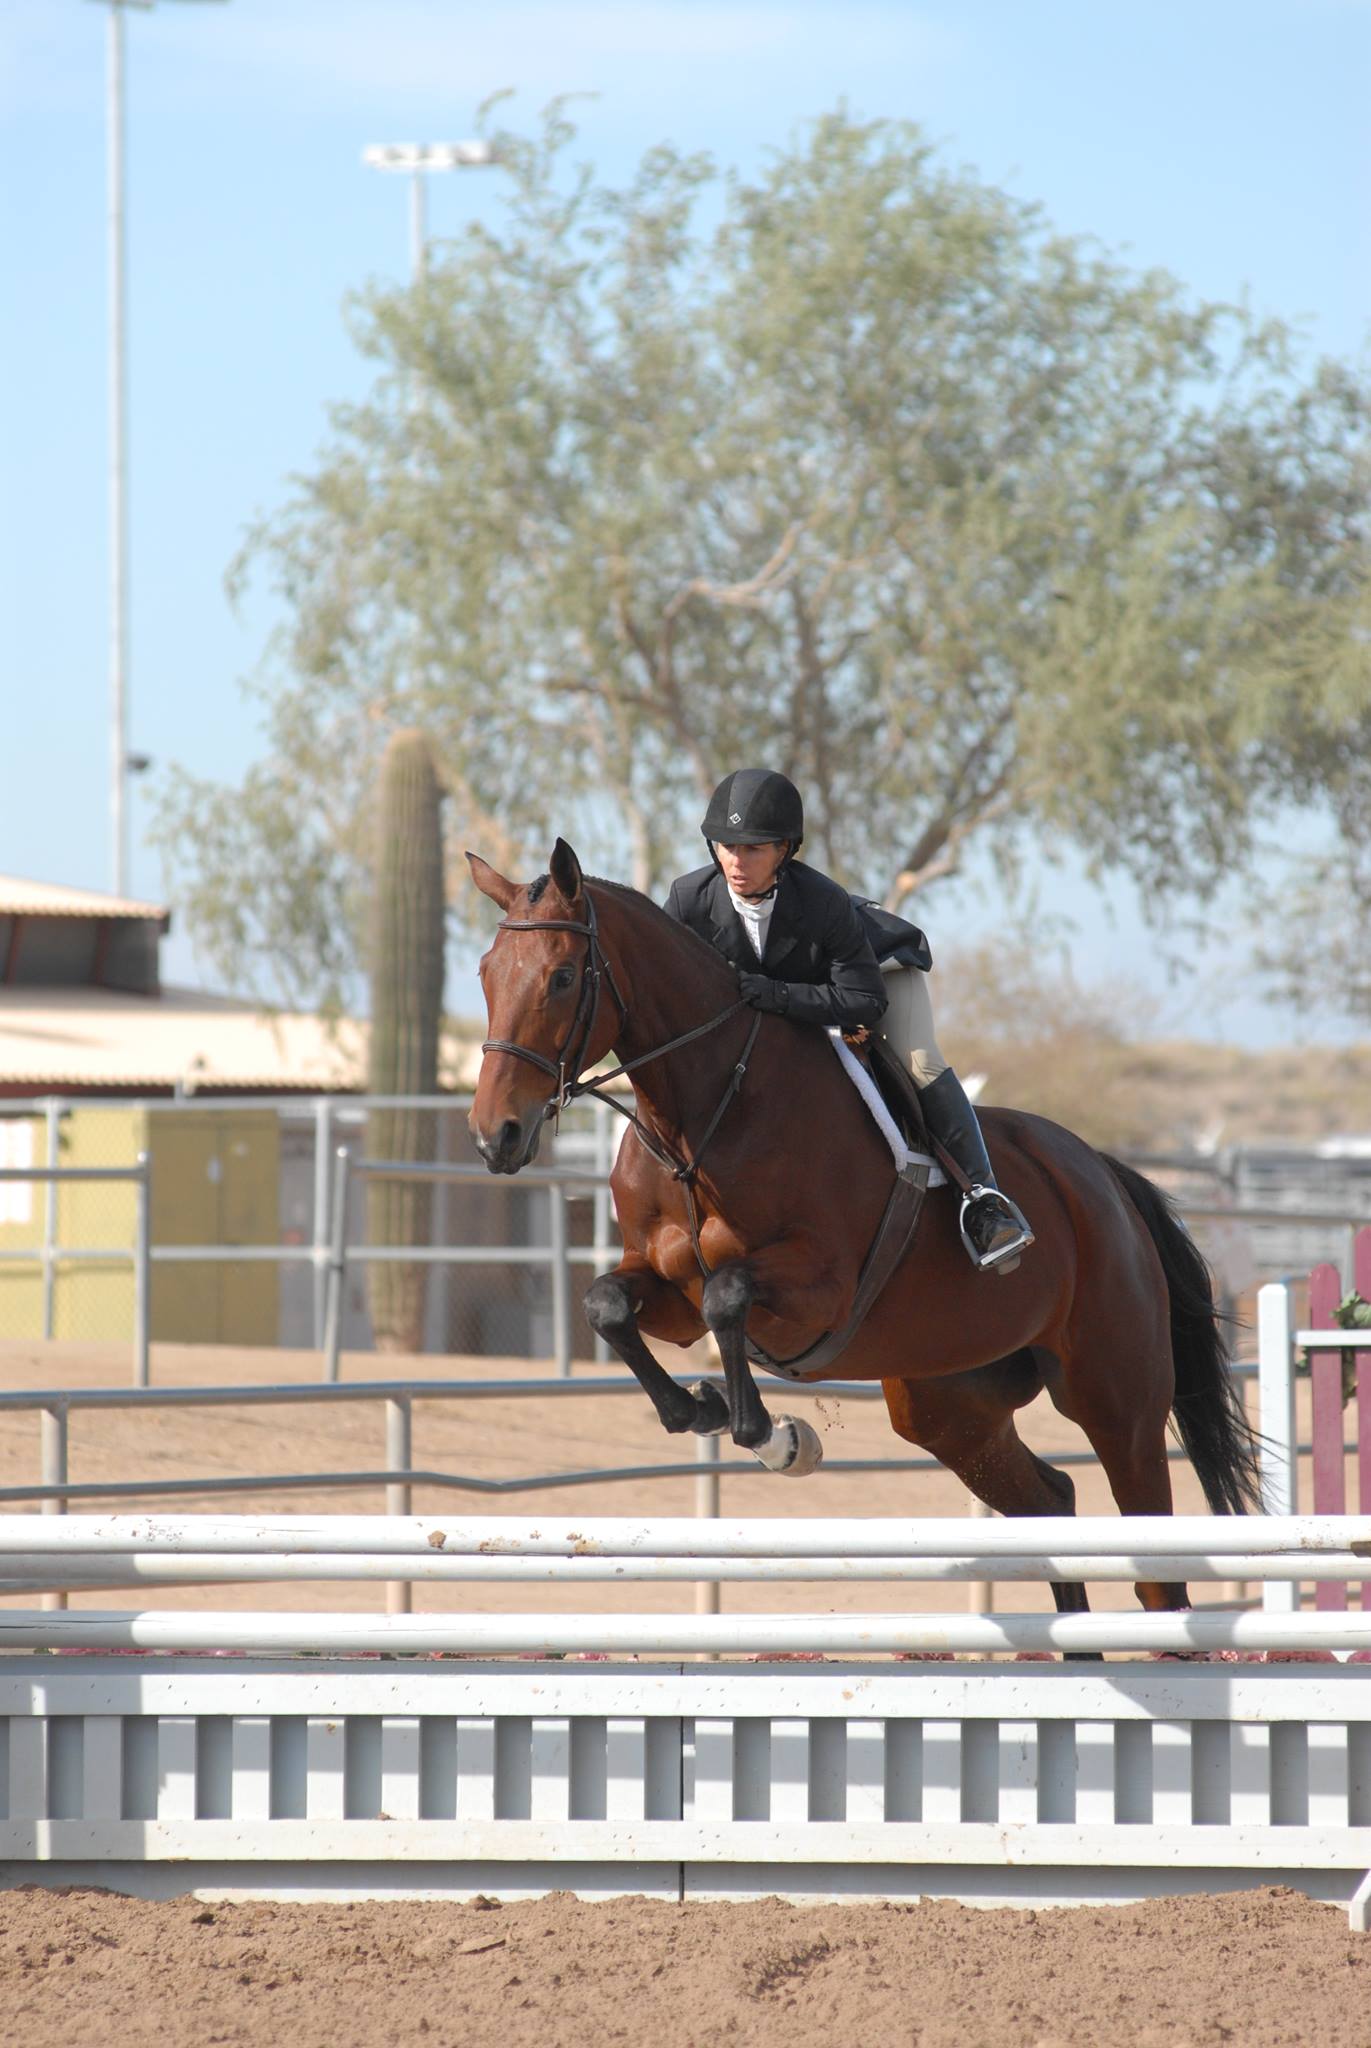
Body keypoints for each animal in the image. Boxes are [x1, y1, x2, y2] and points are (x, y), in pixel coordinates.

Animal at [465, 835, 1254, 1613]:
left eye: (563, 978)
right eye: (484, 975)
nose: (495, 1136)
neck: (703, 1115)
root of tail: (1103, 1175)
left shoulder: (821, 1288)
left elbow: (728, 1294)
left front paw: (777, 1437)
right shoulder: (668, 1292)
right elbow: (607, 1304)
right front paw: (702, 1408)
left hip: (1115, 1397)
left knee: (1156, 1567)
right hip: (949, 1406)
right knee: (1050, 1502)